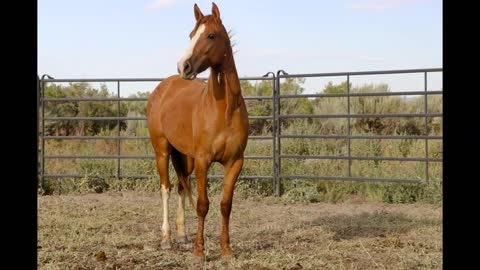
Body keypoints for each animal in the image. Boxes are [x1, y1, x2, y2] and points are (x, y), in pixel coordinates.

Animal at [145, 2, 249, 262]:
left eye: (211, 35)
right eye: (191, 35)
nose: (184, 66)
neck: (224, 110)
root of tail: (163, 87)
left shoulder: (235, 162)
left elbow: (225, 205)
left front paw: (226, 250)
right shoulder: (203, 161)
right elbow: (203, 204)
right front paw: (199, 251)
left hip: (185, 157)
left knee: (182, 187)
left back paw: (182, 235)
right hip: (162, 151)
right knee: (166, 189)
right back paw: (167, 239)